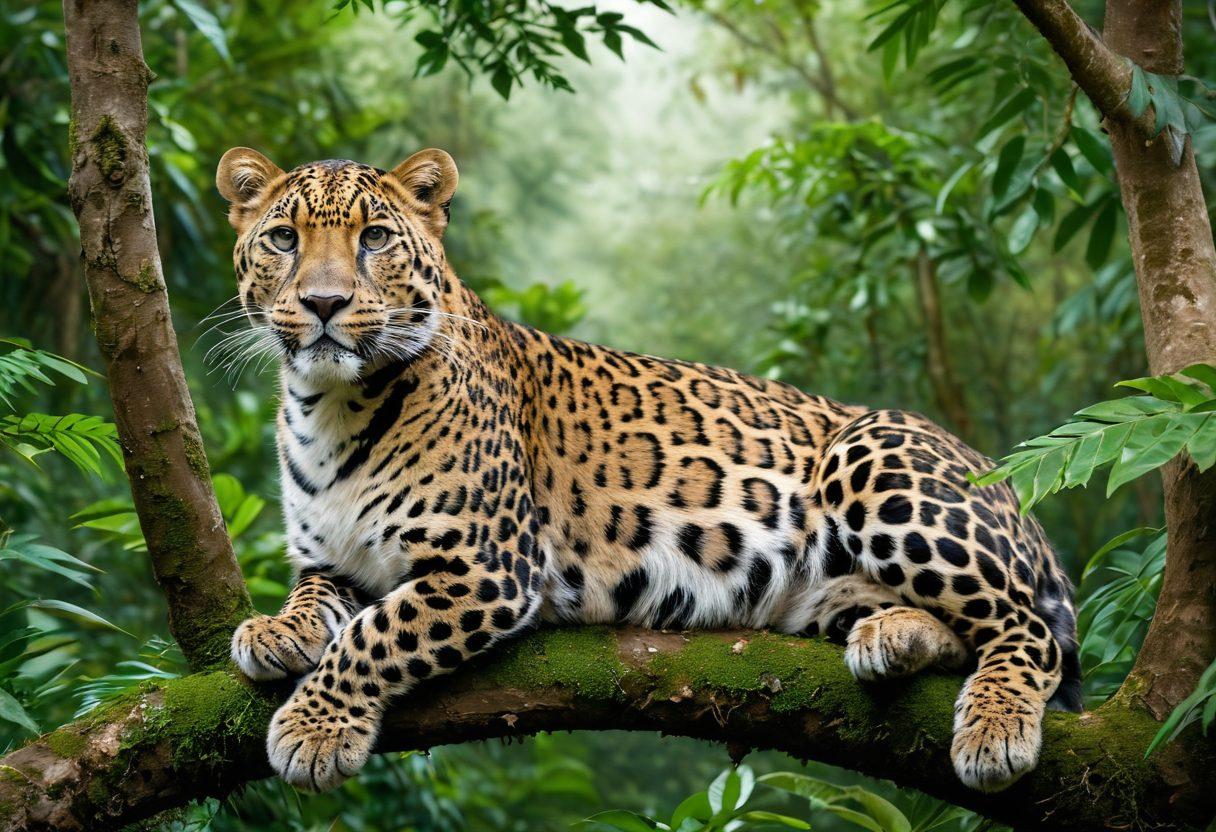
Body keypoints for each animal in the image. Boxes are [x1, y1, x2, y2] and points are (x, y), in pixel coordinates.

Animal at [217, 145, 1081, 796]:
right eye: (284, 239)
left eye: (374, 239)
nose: (324, 303)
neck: (329, 408)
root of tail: (1010, 485)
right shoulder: (334, 557)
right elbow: (321, 596)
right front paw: (275, 631)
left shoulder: (487, 568)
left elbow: (376, 636)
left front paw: (313, 728)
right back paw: (891, 636)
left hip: (874, 458)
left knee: (1029, 631)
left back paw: (994, 729)